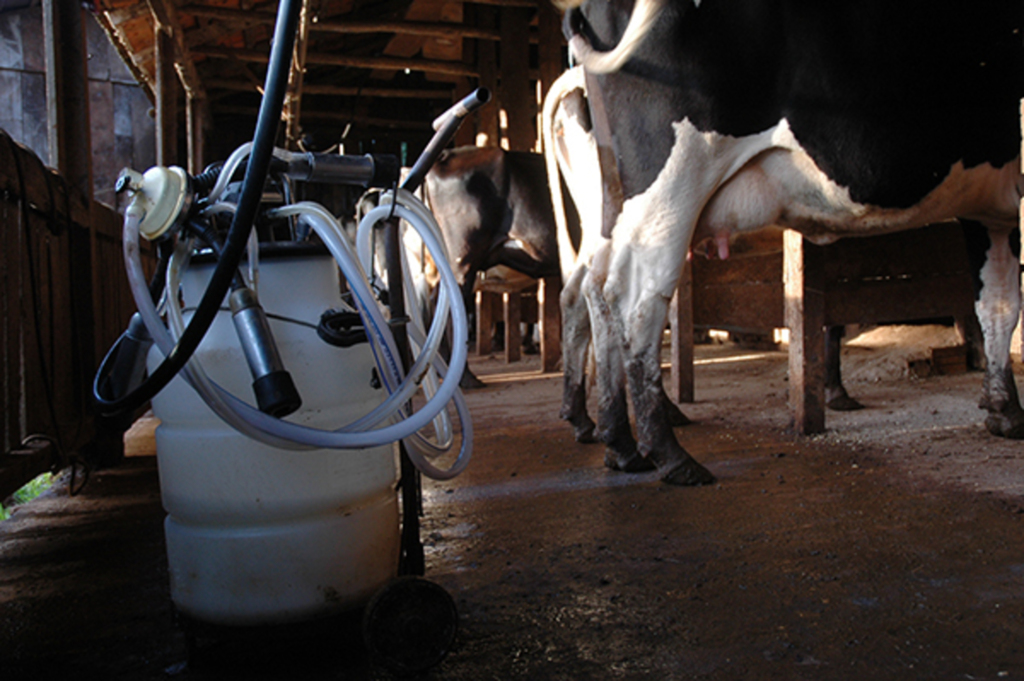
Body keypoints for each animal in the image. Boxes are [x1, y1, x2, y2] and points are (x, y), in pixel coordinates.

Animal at [561, 1, 1024, 489]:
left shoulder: (987, 210)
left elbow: (997, 304)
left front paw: (1004, 410)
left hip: (615, 201)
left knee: (593, 289)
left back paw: (619, 443)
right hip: (672, 185)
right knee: (635, 300)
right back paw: (669, 453)